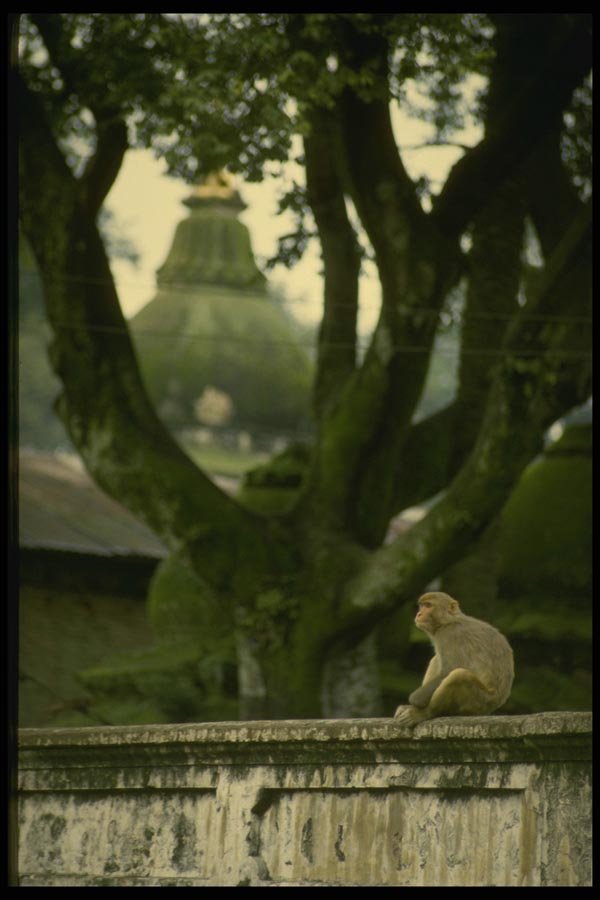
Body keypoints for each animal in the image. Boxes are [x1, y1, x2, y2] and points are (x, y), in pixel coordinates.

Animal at [393, 591, 514, 727]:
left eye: (428, 605)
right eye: (421, 606)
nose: (419, 614)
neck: (449, 621)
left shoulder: (450, 635)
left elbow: (451, 667)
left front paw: (415, 700)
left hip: (478, 702)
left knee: (458, 675)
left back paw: (425, 713)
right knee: (436, 660)